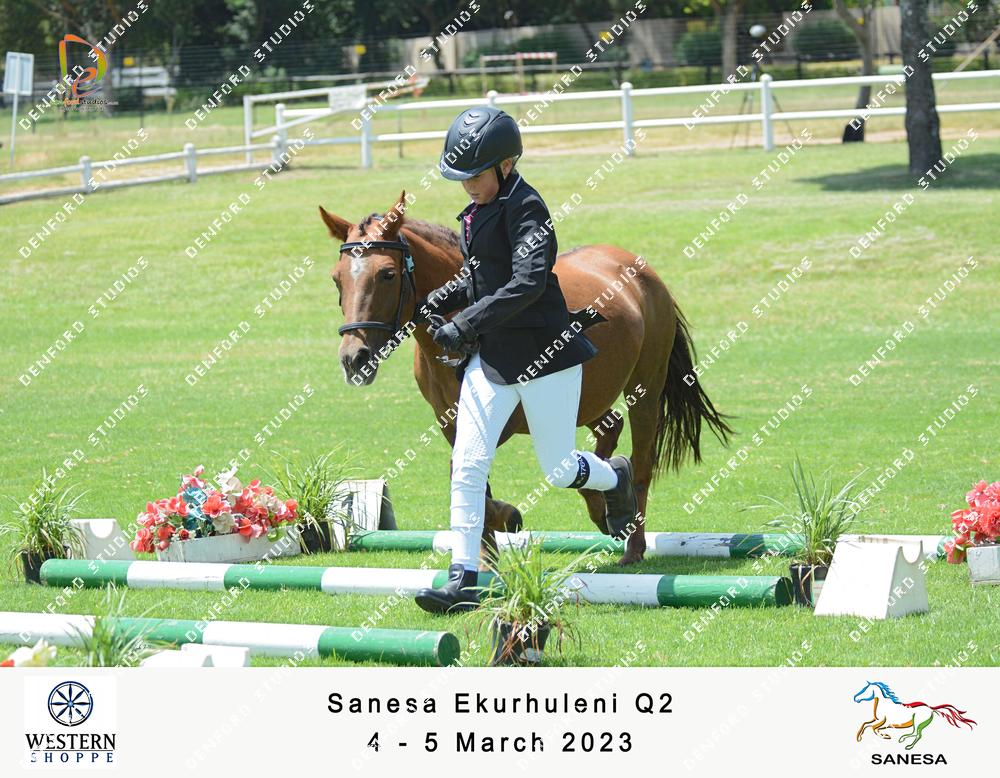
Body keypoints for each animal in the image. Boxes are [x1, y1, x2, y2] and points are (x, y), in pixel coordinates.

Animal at [319, 190, 732, 565]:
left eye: (387, 274)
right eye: (337, 280)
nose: (354, 359)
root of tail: (638, 267)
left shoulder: (501, 420)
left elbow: (469, 481)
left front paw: (508, 520)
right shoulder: (451, 421)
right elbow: (470, 480)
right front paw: (484, 561)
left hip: (643, 390)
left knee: (640, 462)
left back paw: (631, 541)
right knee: (608, 429)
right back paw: (606, 509)